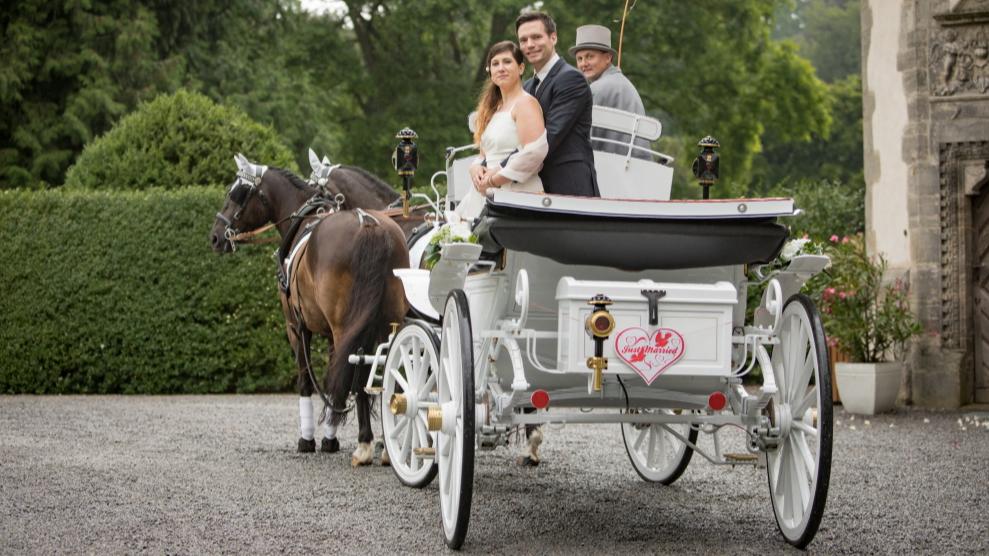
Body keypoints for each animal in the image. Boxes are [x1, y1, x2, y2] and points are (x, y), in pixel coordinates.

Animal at [208, 157, 410, 464]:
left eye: (237, 194)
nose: (216, 237)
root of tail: (369, 225)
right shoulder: (329, 333)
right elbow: (334, 378)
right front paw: (330, 437)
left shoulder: (296, 327)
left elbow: (306, 381)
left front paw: (309, 439)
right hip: (388, 322)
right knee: (386, 368)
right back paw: (388, 445)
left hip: (345, 326)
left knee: (357, 366)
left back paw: (364, 444)